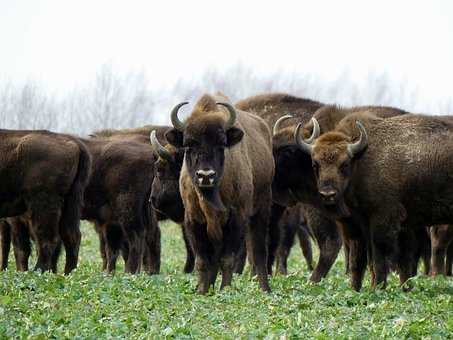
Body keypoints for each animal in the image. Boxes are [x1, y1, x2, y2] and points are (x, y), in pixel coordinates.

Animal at [0, 130, 91, 274]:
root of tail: (75, 143)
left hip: (44, 203)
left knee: (47, 239)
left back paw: (38, 272)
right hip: (71, 202)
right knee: (71, 237)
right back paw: (68, 274)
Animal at [294, 112, 452, 290]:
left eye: (345, 164)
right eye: (315, 164)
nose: (328, 194)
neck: (361, 160)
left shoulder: (383, 220)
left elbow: (379, 257)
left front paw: (377, 287)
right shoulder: (358, 226)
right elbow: (358, 260)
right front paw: (355, 289)